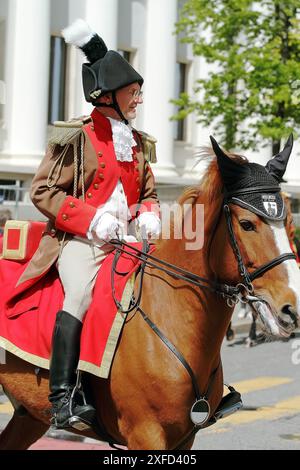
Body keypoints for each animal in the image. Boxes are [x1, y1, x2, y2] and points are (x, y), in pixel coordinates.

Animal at [0, 140, 300, 448]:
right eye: (247, 224)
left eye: (290, 223)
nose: (291, 308)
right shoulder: (145, 433)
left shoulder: (185, 436)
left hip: (29, 415)